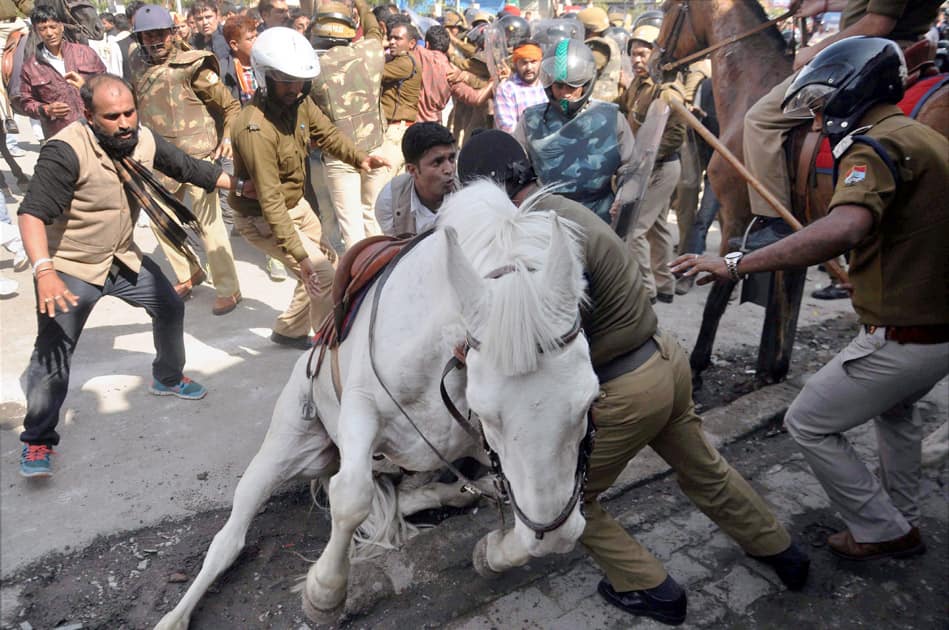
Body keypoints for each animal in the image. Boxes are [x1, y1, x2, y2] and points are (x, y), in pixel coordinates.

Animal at [156, 180, 600, 628]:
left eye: (589, 401)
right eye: (489, 414)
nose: (552, 533)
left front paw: (493, 552)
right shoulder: (361, 407)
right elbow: (351, 496)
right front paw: (324, 593)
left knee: (423, 493)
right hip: (287, 445)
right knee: (229, 538)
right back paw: (175, 616)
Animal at [652, 0, 948, 386]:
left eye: (669, 9)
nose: (653, 62)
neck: (752, 84)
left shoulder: (736, 216)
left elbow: (720, 293)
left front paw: (698, 366)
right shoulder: (802, 222)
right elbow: (786, 294)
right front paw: (772, 370)